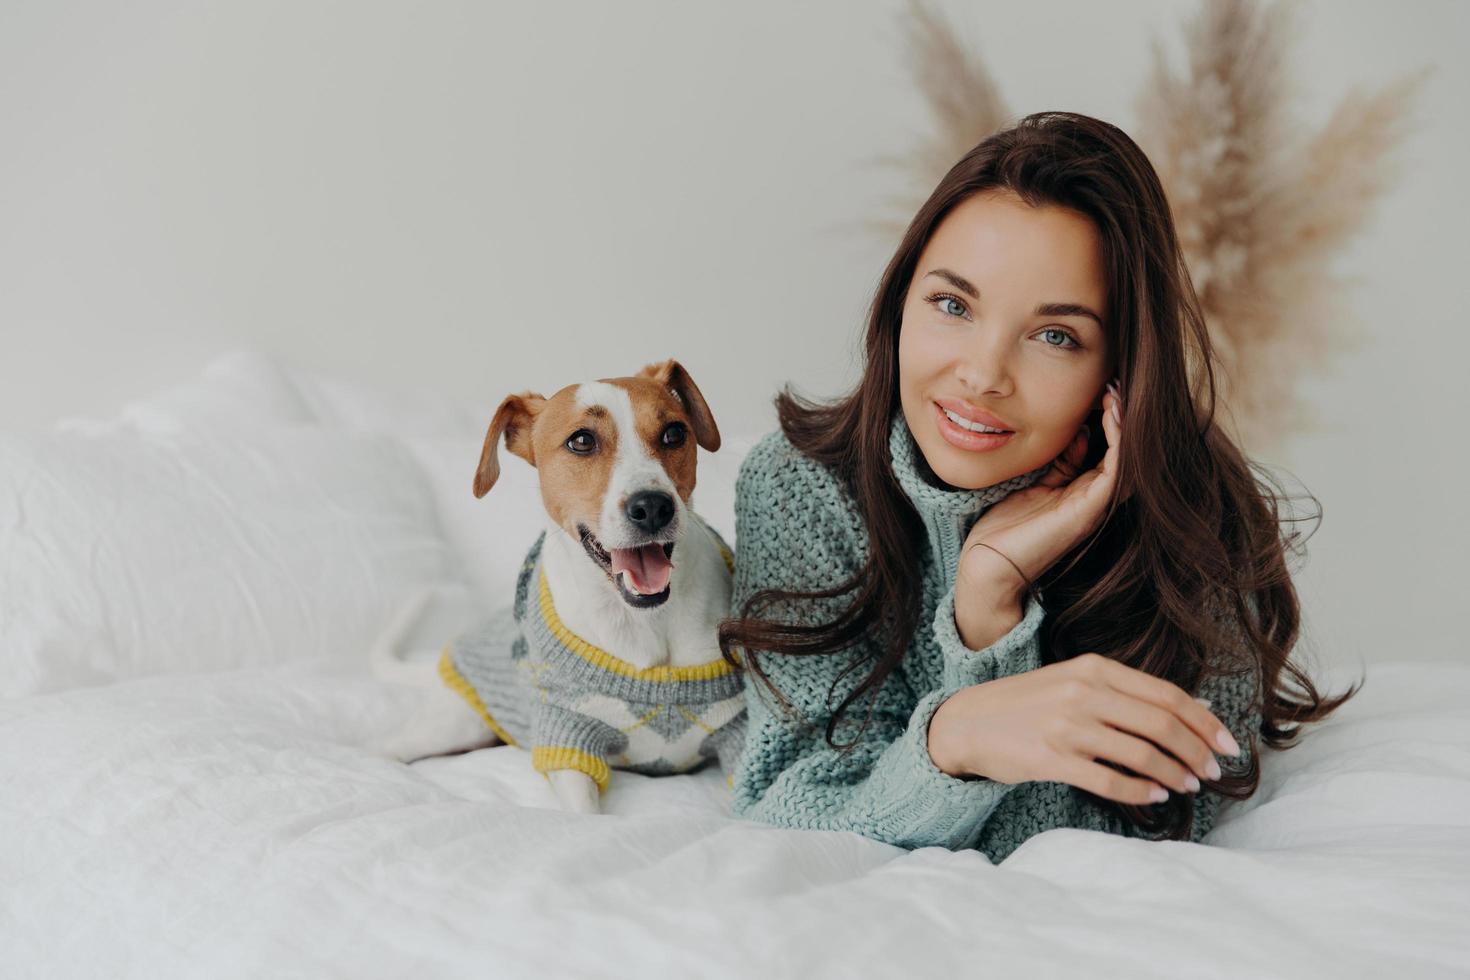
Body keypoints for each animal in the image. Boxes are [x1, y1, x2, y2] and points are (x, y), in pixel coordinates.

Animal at [367, 358, 746, 811]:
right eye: (581, 441)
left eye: (674, 432)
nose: (654, 506)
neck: (644, 622)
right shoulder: (567, 734)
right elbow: (585, 812)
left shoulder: (739, 731)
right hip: (454, 721)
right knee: (384, 748)